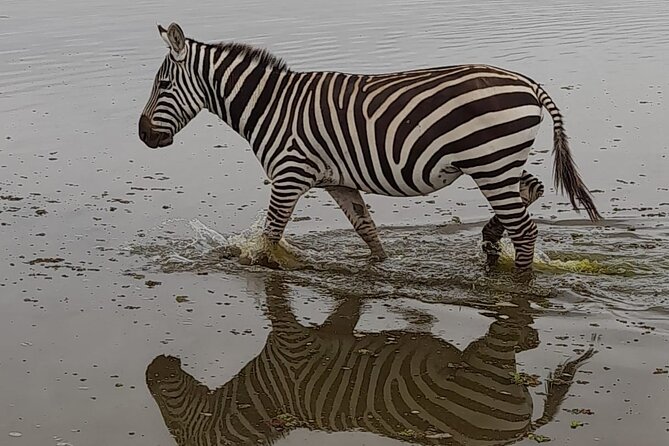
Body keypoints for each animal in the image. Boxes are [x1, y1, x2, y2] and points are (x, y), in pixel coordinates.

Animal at [137, 22, 600, 272]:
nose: (143, 135)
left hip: (489, 161)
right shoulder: (337, 181)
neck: (271, 106)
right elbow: (367, 230)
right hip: (499, 161)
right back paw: (489, 240)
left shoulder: (288, 175)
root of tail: (528, 83)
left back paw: (517, 277)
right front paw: (380, 266)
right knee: (530, 190)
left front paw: (253, 263)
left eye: (163, 85)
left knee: (525, 229)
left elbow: (270, 236)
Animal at [147, 278, 596, 444]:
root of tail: (519, 433)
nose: (150, 374)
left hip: (485, 368)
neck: (269, 395)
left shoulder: (294, 348)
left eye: (174, 428)